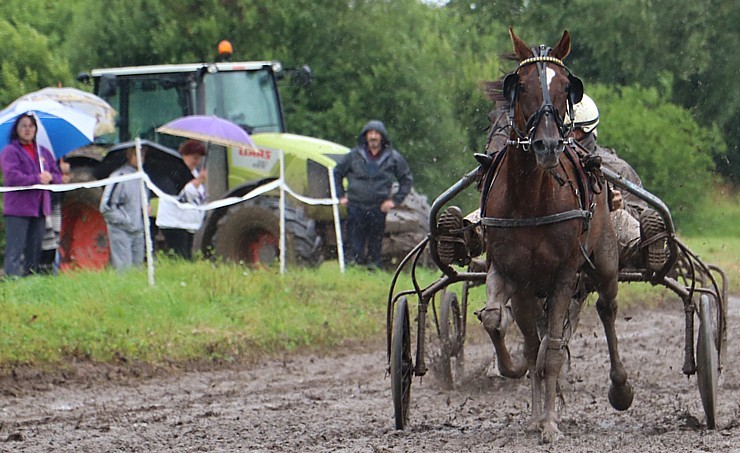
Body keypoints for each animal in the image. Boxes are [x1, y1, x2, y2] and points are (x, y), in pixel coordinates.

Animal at [480, 29, 632, 442]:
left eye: (567, 86)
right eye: (521, 85)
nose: (547, 145)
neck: (531, 200)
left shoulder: (564, 275)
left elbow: (550, 353)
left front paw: (549, 424)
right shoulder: (514, 276)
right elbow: (515, 334)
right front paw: (534, 411)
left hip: (605, 260)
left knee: (607, 309)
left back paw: (620, 387)